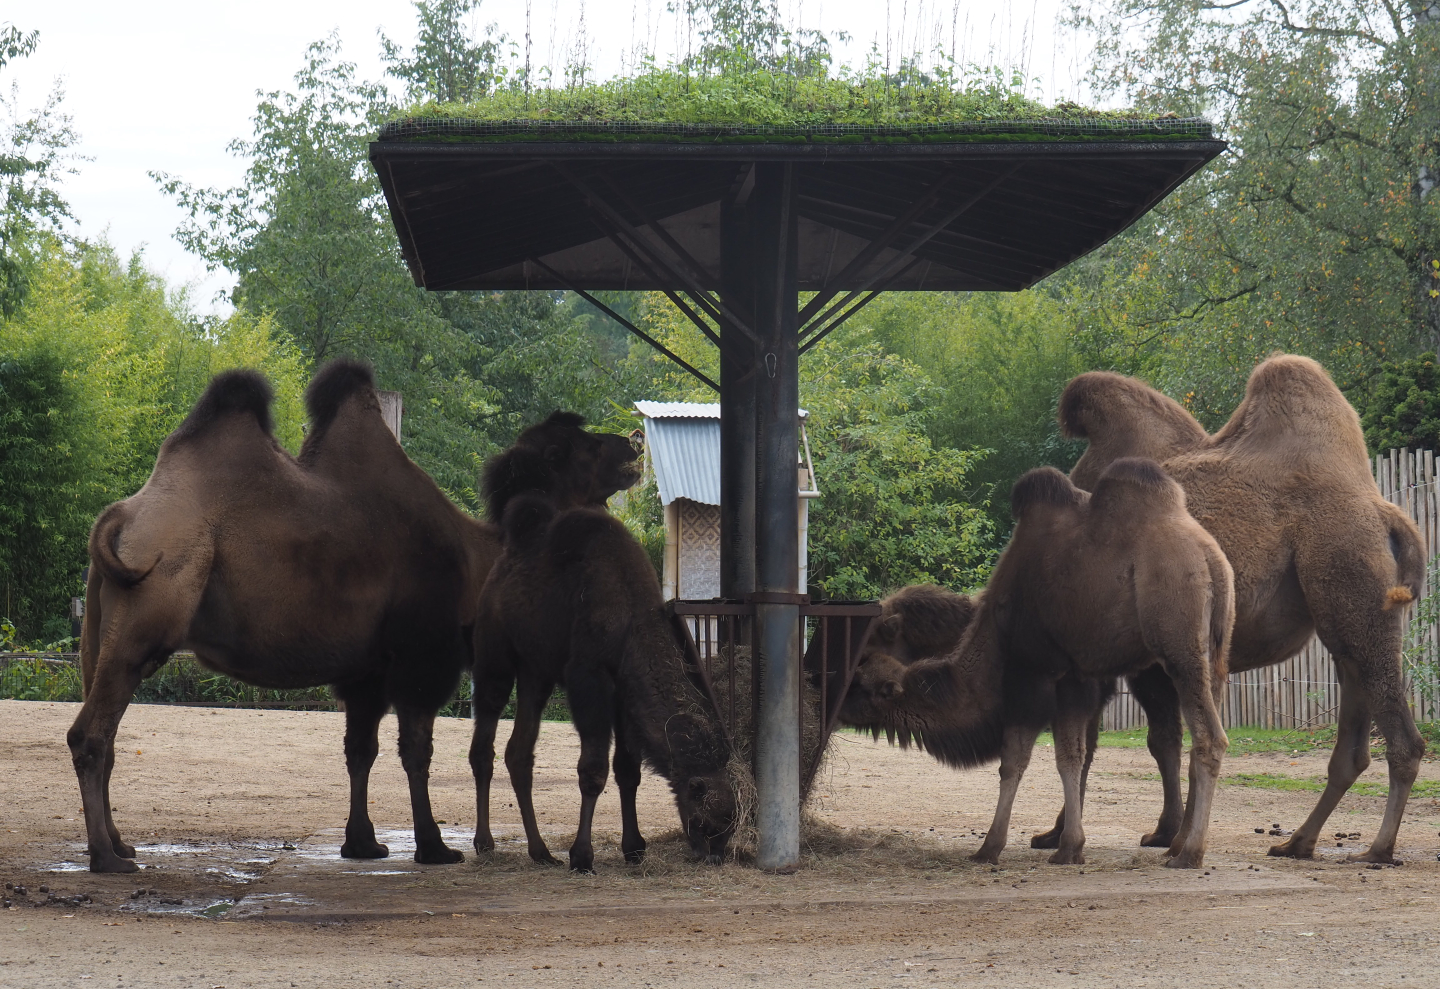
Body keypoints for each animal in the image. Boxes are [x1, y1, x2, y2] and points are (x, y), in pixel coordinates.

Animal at [72, 360, 501, 873]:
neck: (476, 562)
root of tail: (123, 518)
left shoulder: (367, 670)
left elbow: (361, 751)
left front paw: (363, 844)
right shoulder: (421, 657)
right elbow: (416, 752)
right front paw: (435, 848)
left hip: (99, 625)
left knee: (108, 733)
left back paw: (119, 845)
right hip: (149, 608)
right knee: (91, 735)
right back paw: (105, 857)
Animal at [470, 414, 737, 872]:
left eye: (728, 822)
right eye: (706, 820)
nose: (714, 855)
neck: (631, 615)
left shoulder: (624, 689)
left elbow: (628, 768)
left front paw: (634, 848)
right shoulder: (589, 677)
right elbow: (592, 769)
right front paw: (582, 855)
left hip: (537, 673)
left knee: (518, 753)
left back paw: (541, 851)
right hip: (496, 661)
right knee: (482, 748)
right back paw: (485, 843)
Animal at [843, 459, 1234, 867]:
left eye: (861, 682)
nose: (834, 703)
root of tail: (1210, 560)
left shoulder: (1034, 674)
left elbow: (1016, 760)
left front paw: (993, 846)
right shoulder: (1077, 680)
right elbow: (1073, 756)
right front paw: (1068, 845)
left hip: (1179, 646)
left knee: (1209, 738)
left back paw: (1189, 853)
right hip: (1215, 651)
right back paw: (1178, 843)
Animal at [1042, 355, 1426, 864]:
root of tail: (1385, 514)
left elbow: (1098, 740)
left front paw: (1064, 836)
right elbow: (1162, 739)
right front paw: (1167, 832)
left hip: (1350, 580)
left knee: (1401, 737)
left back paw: (1376, 849)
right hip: (1350, 617)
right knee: (1354, 739)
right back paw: (1296, 842)